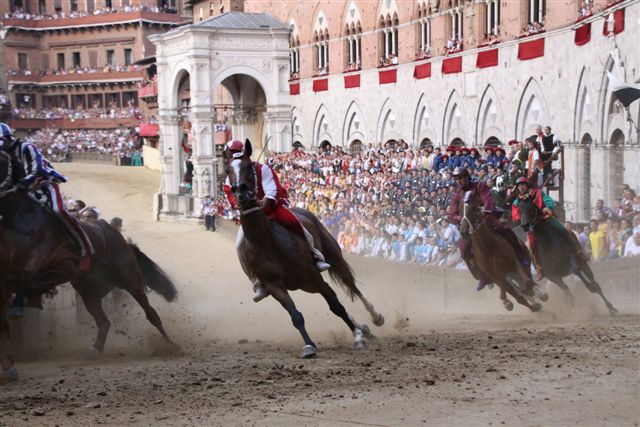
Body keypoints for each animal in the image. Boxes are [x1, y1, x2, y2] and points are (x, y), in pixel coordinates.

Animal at [0, 151, 176, 362]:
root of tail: (122, 241)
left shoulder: (47, 262)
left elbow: (26, 276)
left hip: (130, 280)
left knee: (150, 314)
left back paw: (171, 345)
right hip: (90, 292)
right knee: (104, 321)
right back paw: (96, 349)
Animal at [226, 142, 382, 360]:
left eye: (249, 167)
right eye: (228, 171)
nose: (240, 192)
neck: (266, 242)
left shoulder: (313, 276)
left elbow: (337, 306)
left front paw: (357, 336)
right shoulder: (275, 285)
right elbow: (296, 316)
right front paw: (309, 345)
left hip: (331, 258)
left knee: (351, 285)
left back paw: (374, 318)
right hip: (303, 285)